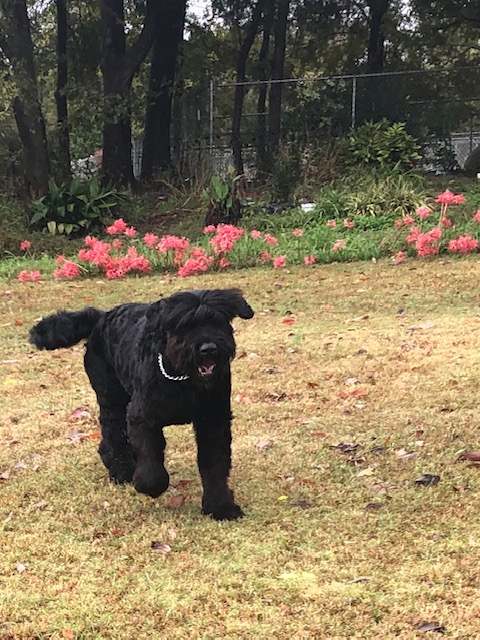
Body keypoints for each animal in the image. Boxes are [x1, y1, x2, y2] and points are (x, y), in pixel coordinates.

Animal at [29, 290, 255, 520]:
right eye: (184, 324)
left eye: (217, 321)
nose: (208, 349)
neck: (183, 379)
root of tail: (101, 317)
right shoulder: (141, 417)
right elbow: (150, 460)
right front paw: (149, 485)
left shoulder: (213, 421)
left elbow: (214, 465)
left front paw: (221, 507)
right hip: (112, 400)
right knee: (114, 436)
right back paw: (122, 471)